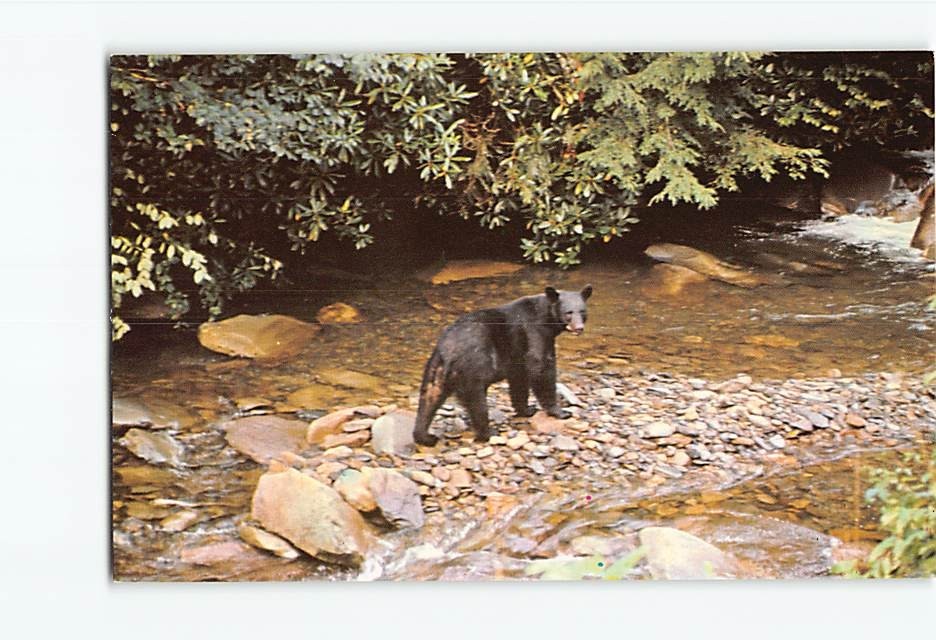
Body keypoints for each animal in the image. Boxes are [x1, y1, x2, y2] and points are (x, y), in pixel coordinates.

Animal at [412, 284, 593, 446]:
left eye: (582, 311)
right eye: (568, 312)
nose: (579, 328)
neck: (546, 318)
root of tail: (448, 351)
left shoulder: (517, 355)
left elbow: (519, 379)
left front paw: (526, 409)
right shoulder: (535, 333)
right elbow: (541, 367)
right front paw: (560, 411)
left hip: (436, 370)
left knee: (430, 396)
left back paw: (425, 437)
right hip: (473, 368)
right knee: (477, 402)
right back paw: (488, 432)